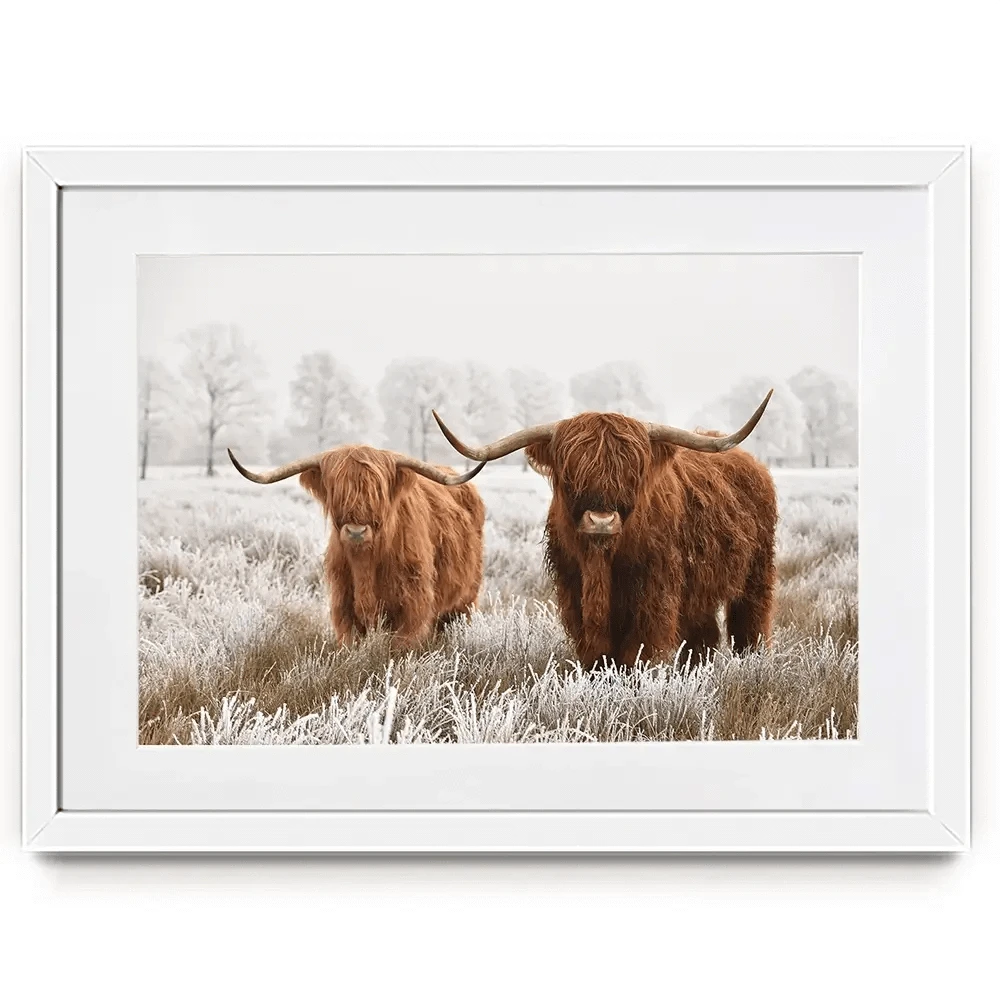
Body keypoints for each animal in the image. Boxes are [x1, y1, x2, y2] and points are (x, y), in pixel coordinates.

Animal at [228, 445, 486, 651]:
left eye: (377, 492)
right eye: (336, 491)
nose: (356, 531)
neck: (366, 564)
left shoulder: (414, 606)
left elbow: (401, 647)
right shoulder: (343, 605)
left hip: (465, 601)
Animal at [432, 394, 777, 668]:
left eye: (632, 473)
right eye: (570, 473)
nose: (601, 521)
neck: (601, 562)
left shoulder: (655, 598)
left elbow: (637, 653)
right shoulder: (574, 593)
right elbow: (595, 653)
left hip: (756, 574)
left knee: (750, 624)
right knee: (704, 636)